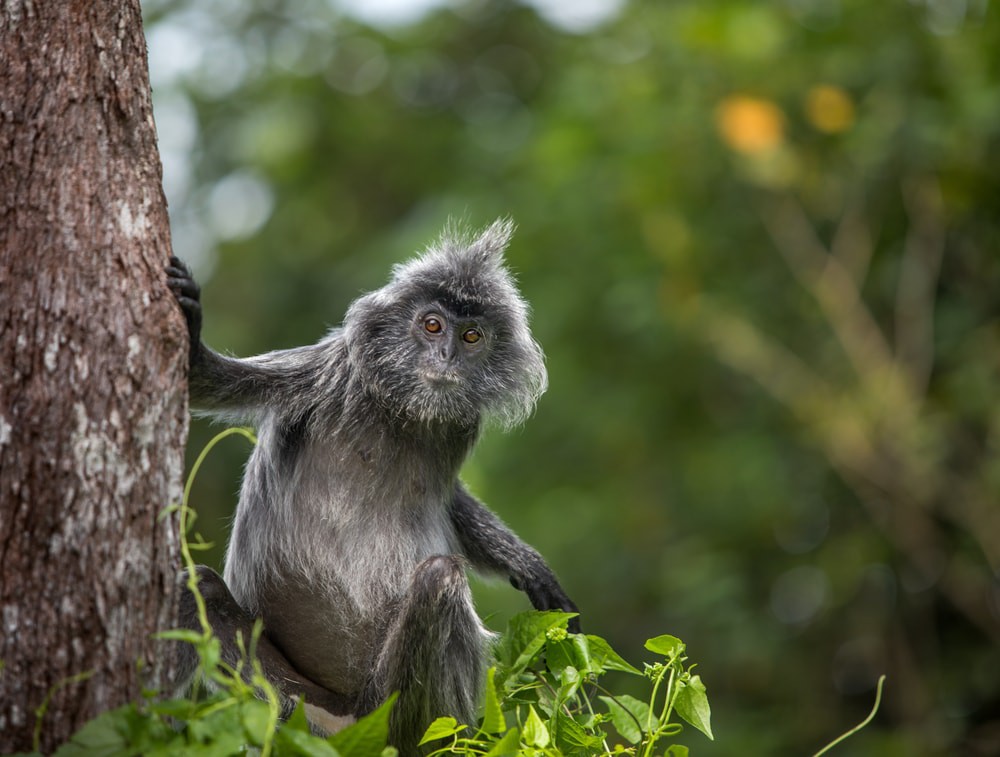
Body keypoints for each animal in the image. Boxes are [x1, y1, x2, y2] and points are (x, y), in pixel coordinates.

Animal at [166, 219, 580, 752]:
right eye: (432, 326)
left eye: (472, 336)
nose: (447, 356)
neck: (401, 413)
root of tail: (349, 720)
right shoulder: (329, 371)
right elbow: (205, 383)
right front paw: (194, 340)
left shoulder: (458, 425)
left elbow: (451, 502)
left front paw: (526, 565)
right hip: (294, 705)